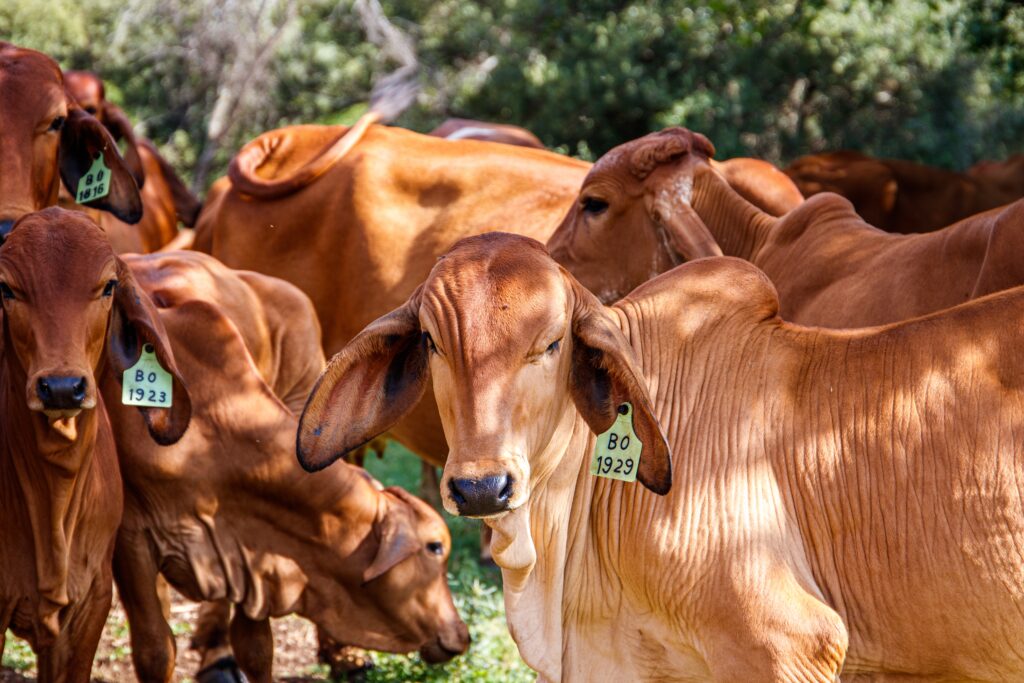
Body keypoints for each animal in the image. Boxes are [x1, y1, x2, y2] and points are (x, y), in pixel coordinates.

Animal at [104, 254, 469, 683]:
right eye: (435, 547)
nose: (462, 635)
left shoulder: (255, 554)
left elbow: (257, 648)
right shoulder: (131, 539)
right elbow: (155, 649)